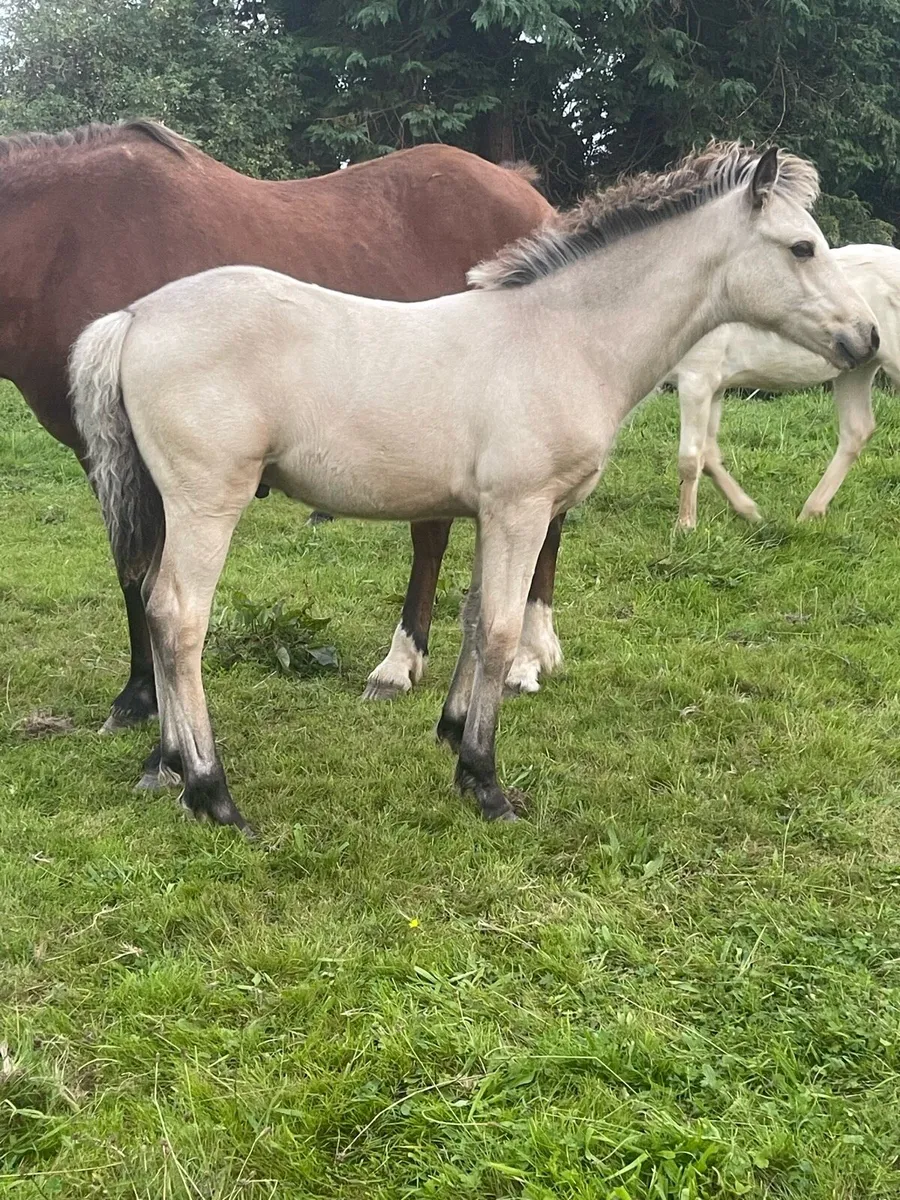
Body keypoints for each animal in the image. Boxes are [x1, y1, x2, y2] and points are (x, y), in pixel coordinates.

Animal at [0, 118, 556, 728]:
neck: (69, 242)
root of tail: (522, 189)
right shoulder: (110, 460)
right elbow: (135, 574)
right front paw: (142, 695)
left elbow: (145, 575)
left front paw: (146, 698)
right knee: (436, 537)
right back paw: (405, 663)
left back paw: (526, 658)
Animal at [669, 243, 900, 528]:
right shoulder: (714, 386)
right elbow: (709, 454)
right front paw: (749, 511)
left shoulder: (696, 379)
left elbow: (690, 459)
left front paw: (684, 526)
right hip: (856, 370)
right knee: (856, 431)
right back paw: (810, 512)